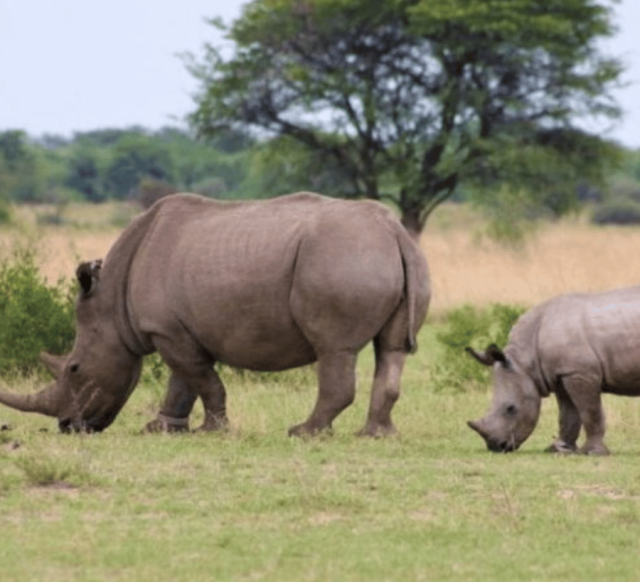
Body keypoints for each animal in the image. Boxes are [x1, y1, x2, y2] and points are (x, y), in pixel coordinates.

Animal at [0, 192, 430, 436]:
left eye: (74, 369)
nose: (67, 427)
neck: (111, 304)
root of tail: (394, 231)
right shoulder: (175, 330)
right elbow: (183, 382)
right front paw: (160, 429)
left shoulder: (165, 331)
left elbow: (202, 381)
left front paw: (213, 431)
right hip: (385, 257)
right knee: (392, 349)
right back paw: (377, 435)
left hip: (341, 256)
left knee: (335, 350)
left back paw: (304, 432)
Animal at [466, 286, 640, 455]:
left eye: (511, 409)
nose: (496, 446)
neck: (525, 361)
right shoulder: (561, 374)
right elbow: (568, 414)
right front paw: (559, 449)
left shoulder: (580, 372)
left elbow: (590, 412)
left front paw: (593, 452)